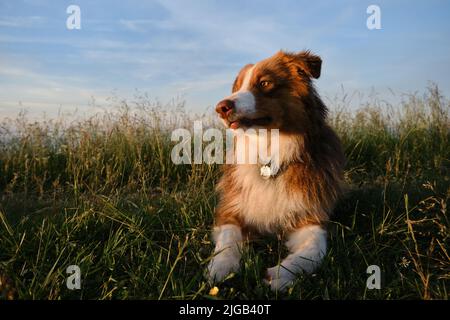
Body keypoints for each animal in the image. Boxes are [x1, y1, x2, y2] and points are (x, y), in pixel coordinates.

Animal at [207, 50, 344, 292]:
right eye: (237, 87)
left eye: (264, 83)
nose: (221, 107)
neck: (270, 158)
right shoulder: (231, 210)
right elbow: (227, 239)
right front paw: (220, 267)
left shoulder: (311, 216)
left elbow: (314, 250)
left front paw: (281, 273)